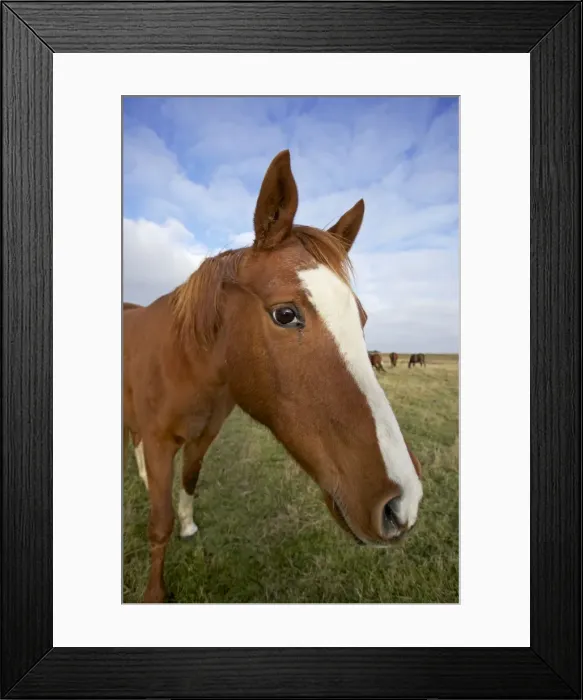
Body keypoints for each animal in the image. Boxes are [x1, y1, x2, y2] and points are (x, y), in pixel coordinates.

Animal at [123, 149, 423, 603]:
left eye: (362, 318)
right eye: (285, 314)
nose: (403, 504)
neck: (185, 361)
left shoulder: (203, 437)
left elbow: (190, 481)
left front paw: (189, 524)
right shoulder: (160, 444)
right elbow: (159, 524)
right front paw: (155, 594)